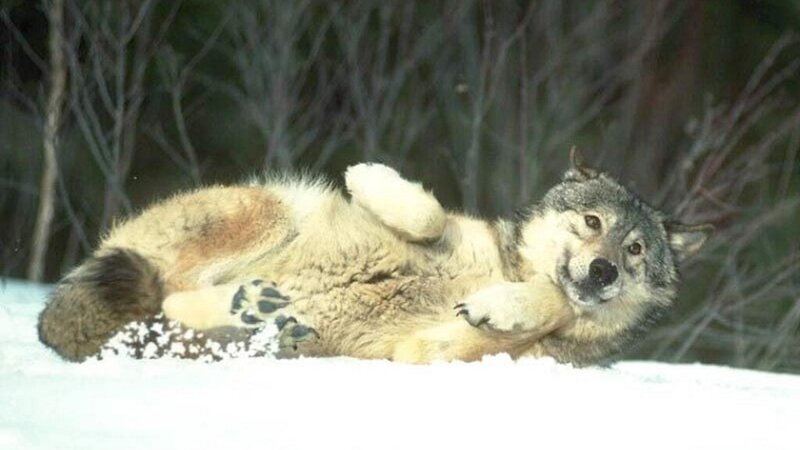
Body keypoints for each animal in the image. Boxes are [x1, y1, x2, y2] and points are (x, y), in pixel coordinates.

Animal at [38, 149, 712, 364]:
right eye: (594, 223)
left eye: (634, 250)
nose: (602, 270)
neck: (504, 268)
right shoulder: (443, 233)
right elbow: (429, 214)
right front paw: (371, 179)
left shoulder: (432, 353)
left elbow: (550, 304)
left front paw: (505, 308)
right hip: (274, 208)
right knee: (162, 289)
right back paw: (255, 305)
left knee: (164, 308)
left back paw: (260, 316)